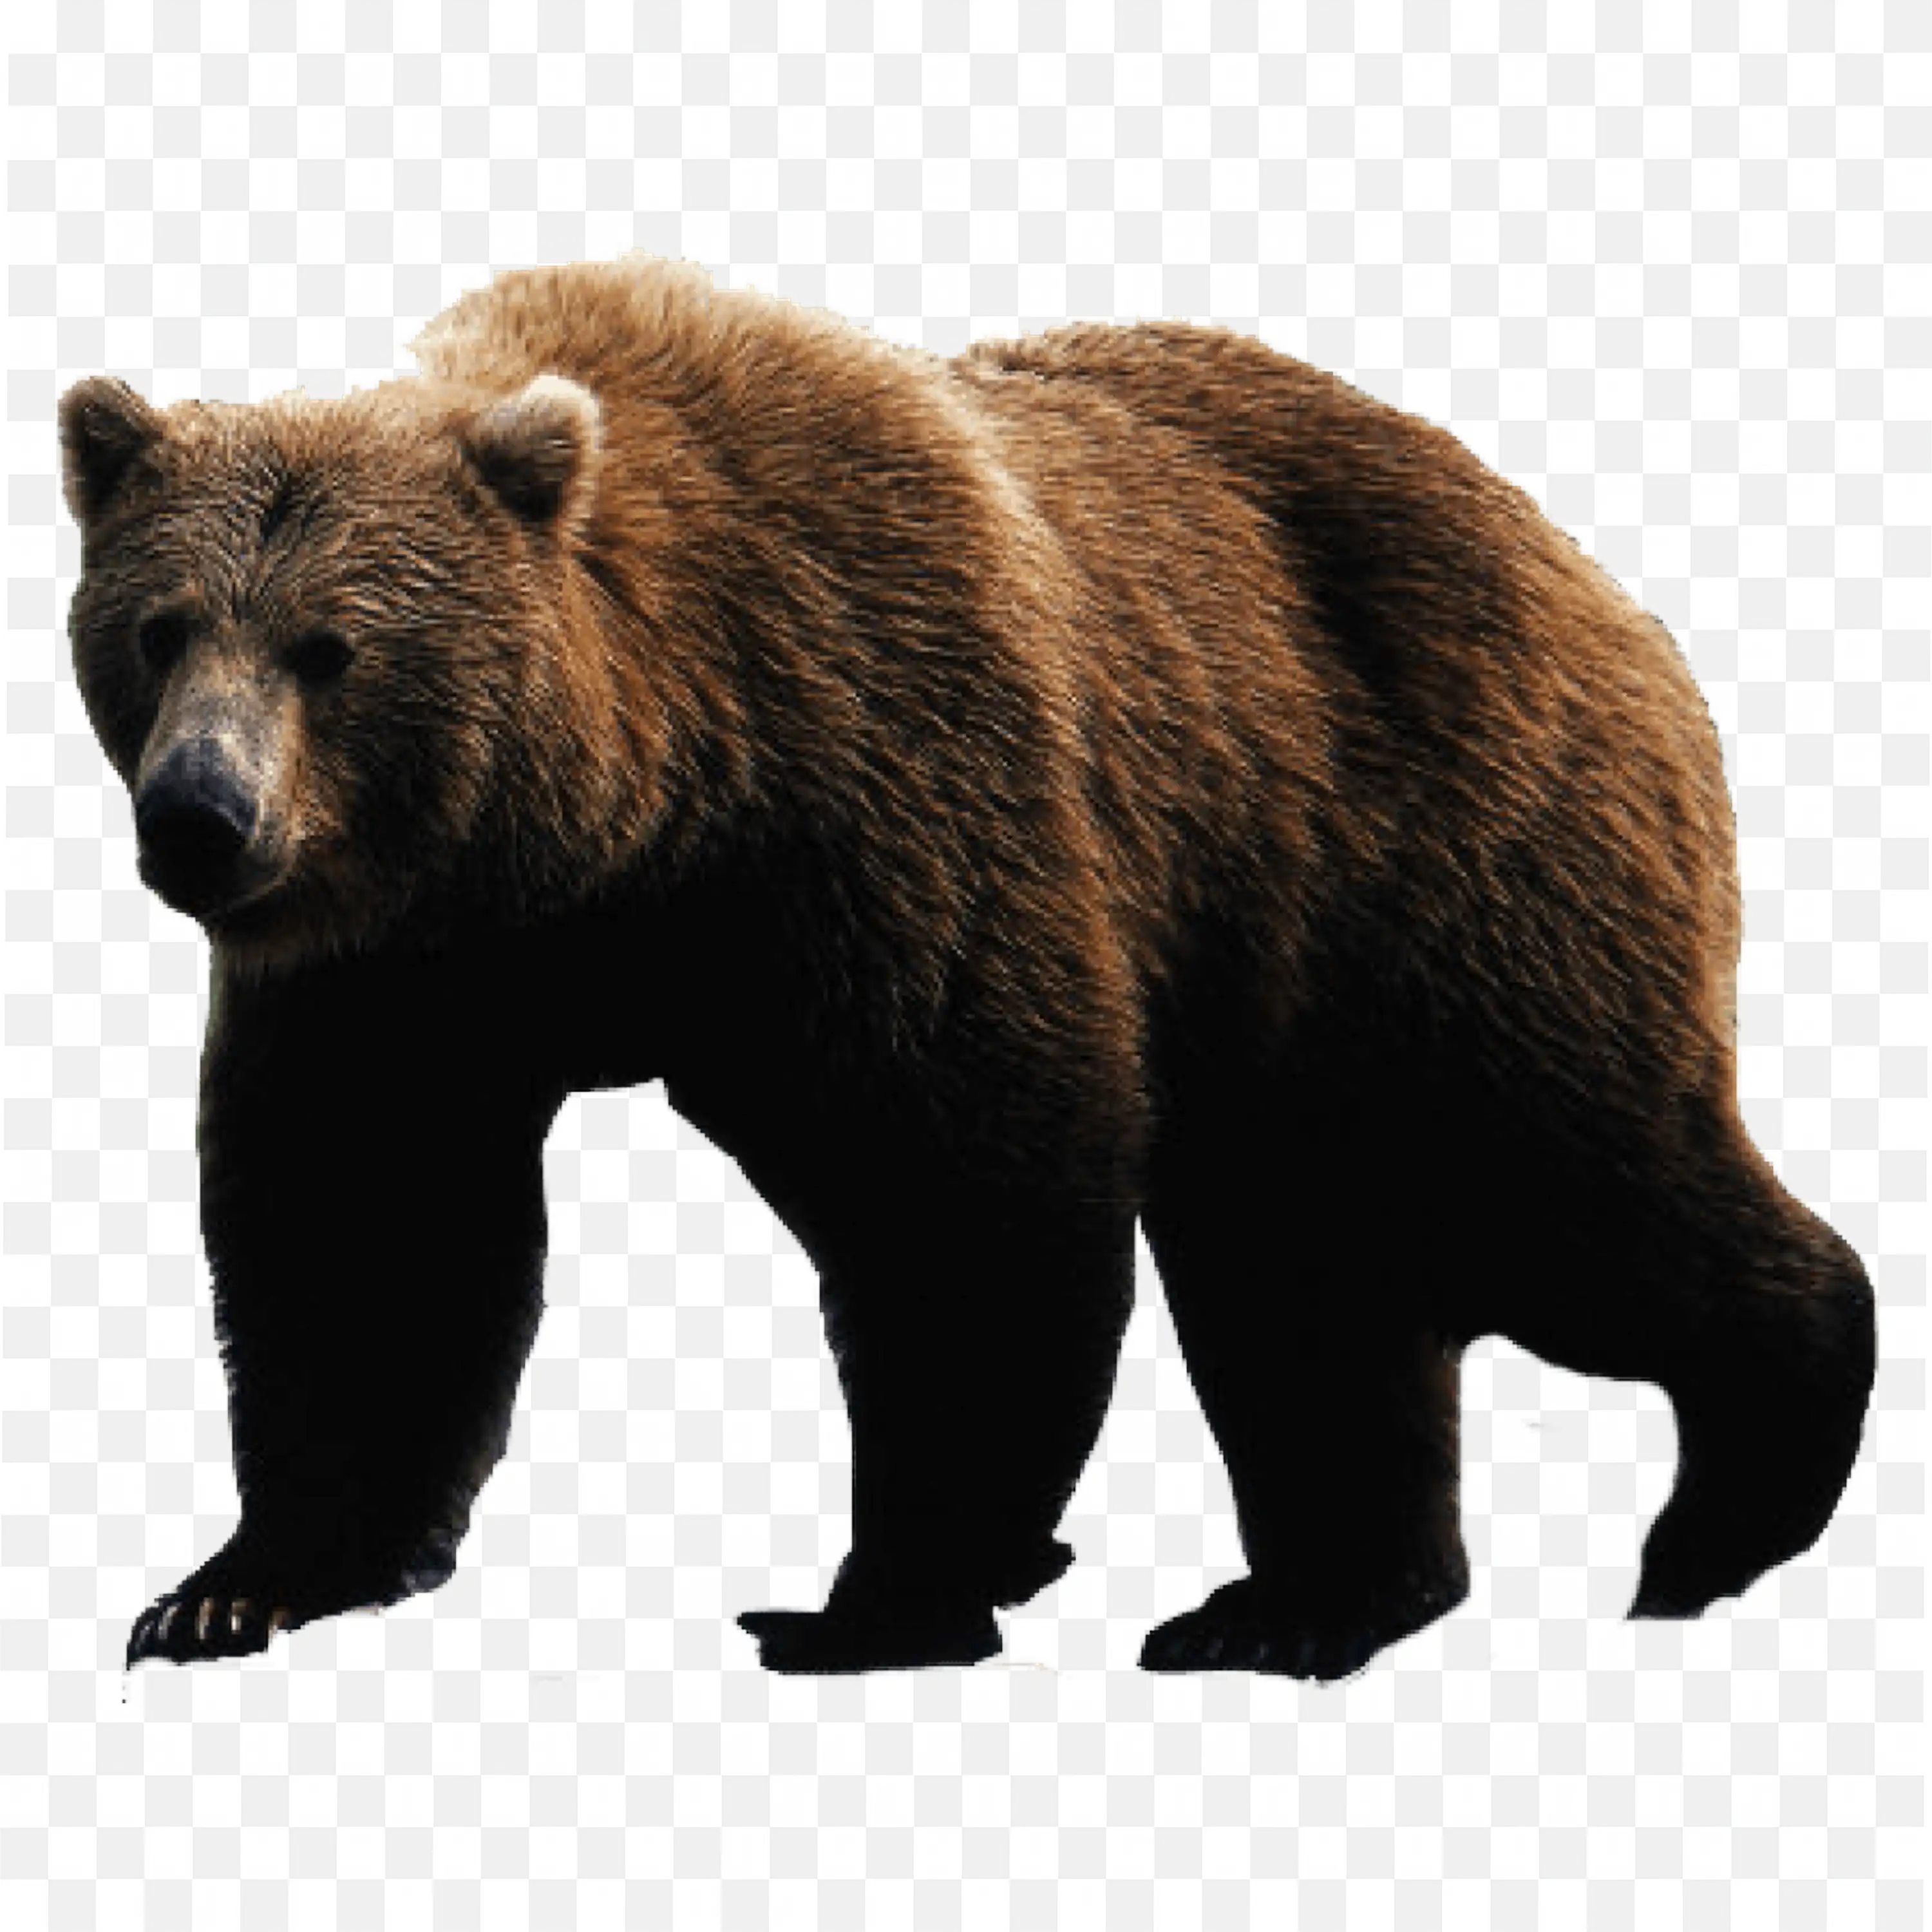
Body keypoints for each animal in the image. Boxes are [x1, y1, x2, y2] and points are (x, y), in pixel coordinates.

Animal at [58, 254, 1876, 1682]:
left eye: (333, 648)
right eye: (160, 627)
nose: (200, 818)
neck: (622, 826)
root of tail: (1595, 578)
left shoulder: (880, 786)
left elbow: (963, 1176)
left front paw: (883, 1591)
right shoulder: (411, 965)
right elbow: (367, 1226)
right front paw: (236, 1586)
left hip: (1423, 849)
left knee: (1535, 1173)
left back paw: (1730, 1501)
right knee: (1306, 1258)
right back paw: (1303, 1601)